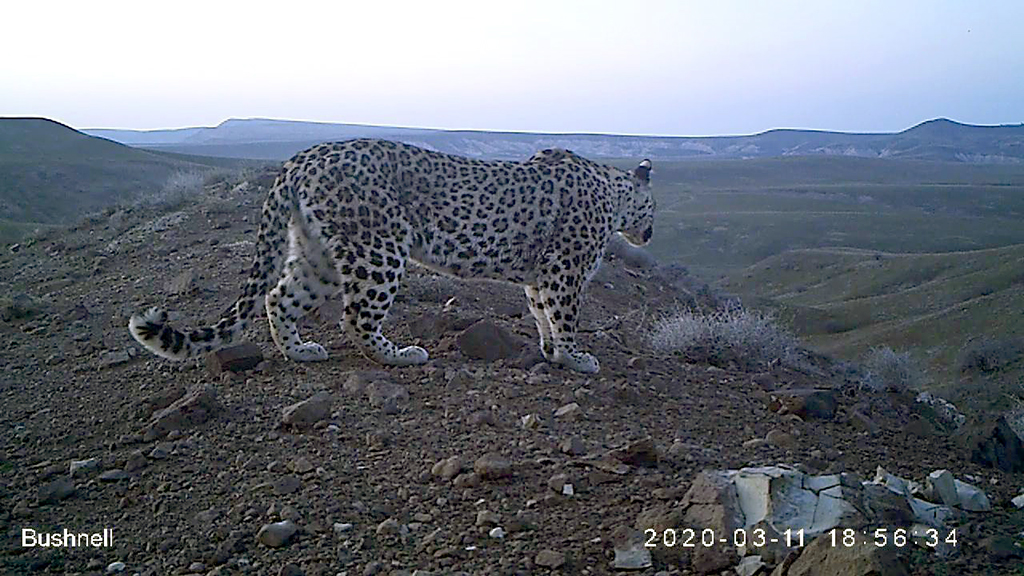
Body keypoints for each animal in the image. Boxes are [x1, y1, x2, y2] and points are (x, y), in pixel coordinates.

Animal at [128, 138, 654, 373]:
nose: (650, 233)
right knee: (355, 317)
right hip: (378, 248)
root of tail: (301, 157)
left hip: (319, 255)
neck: (615, 192)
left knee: (279, 296)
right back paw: (401, 355)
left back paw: (301, 351)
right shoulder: (565, 269)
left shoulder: (539, 275)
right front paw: (576, 357)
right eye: (653, 208)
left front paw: (551, 352)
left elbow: (543, 313)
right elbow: (564, 315)